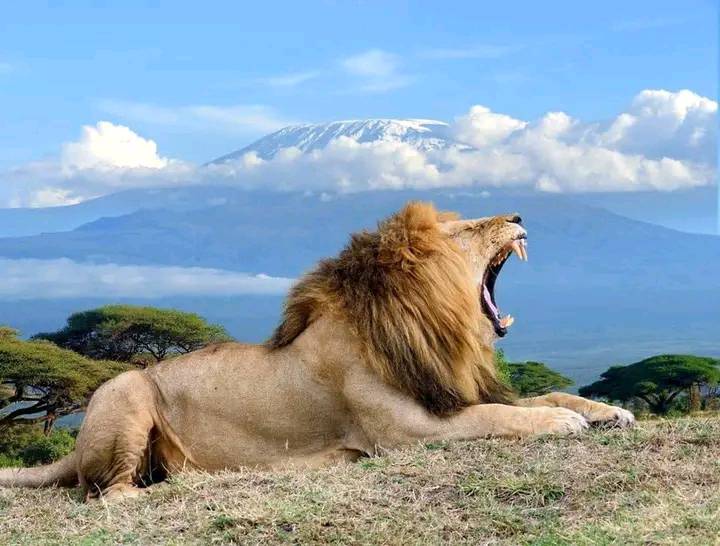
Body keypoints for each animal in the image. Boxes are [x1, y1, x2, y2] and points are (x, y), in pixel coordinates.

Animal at [0, 202, 633, 500]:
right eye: (467, 231)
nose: (520, 215)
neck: (430, 325)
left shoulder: (448, 391)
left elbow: (542, 393)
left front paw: (607, 410)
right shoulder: (407, 432)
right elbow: (500, 416)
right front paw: (562, 423)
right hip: (126, 391)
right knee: (108, 495)